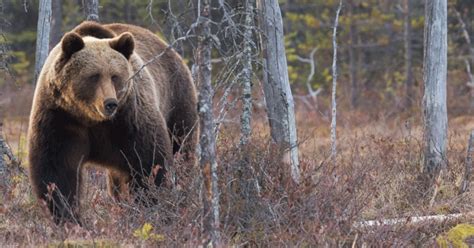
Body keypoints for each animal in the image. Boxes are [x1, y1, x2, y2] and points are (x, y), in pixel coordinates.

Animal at [27, 21, 198, 223]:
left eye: (115, 76)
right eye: (94, 75)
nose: (110, 103)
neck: (91, 118)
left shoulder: (129, 119)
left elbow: (149, 163)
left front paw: (150, 208)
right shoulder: (60, 118)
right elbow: (57, 170)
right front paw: (67, 217)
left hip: (176, 101)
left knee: (182, 148)